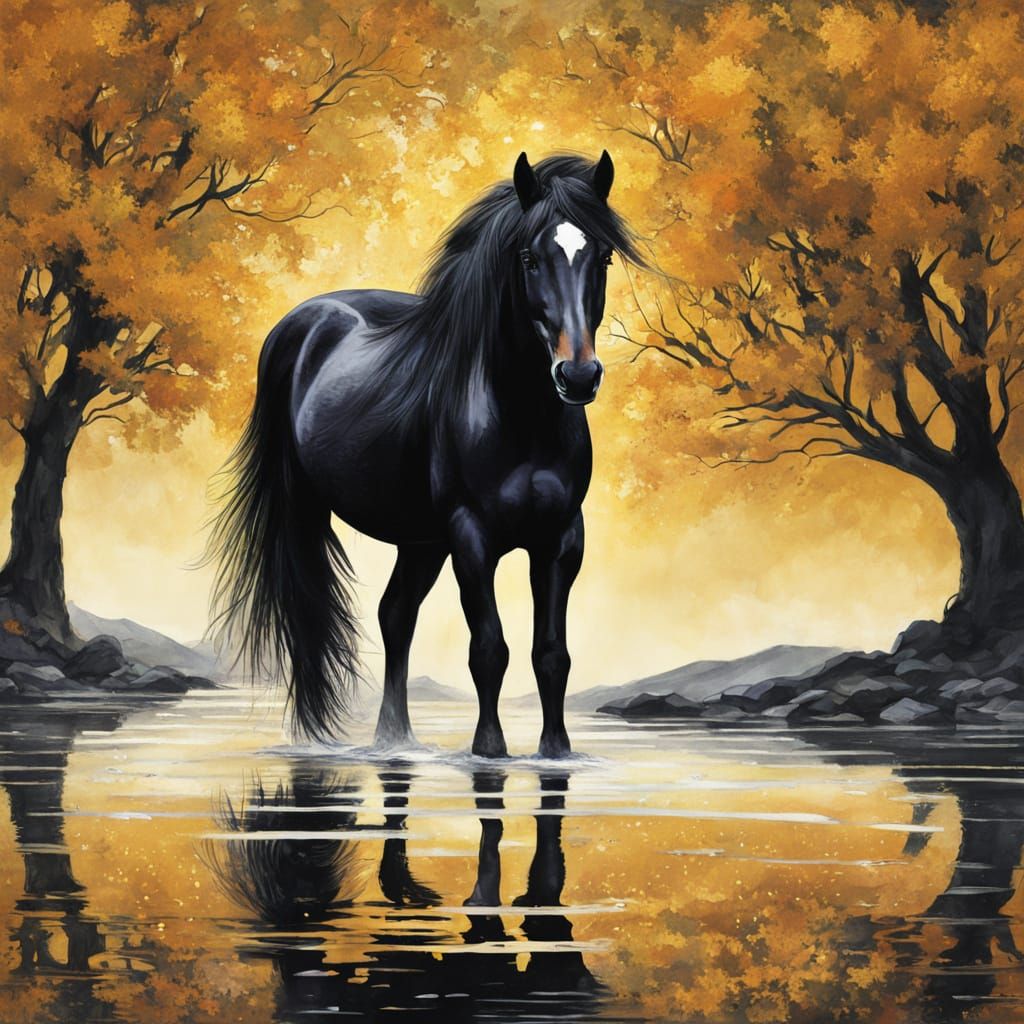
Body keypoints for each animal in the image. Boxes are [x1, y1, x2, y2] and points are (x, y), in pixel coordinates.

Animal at [208, 151, 644, 758]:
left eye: (601, 256)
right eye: (529, 257)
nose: (578, 376)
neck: (521, 416)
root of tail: (305, 319)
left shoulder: (561, 540)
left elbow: (551, 655)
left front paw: (556, 752)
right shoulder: (471, 537)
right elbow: (489, 649)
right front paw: (489, 750)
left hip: (421, 539)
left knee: (396, 615)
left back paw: (395, 739)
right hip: (313, 511)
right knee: (309, 611)